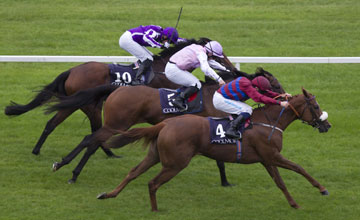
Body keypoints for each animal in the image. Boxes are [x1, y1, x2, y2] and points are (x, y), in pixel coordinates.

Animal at [5, 38, 238, 156]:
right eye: (219, 55)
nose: (232, 66)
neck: (164, 67)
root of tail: (72, 70)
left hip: (78, 103)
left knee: (57, 123)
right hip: (90, 105)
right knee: (92, 128)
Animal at [46, 68, 286, 185]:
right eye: (274, 84)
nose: (285, 96)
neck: (216, 95)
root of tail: (117, 88)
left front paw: (225, 181)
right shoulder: (213, 126)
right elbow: (219, 159)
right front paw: (226, 181)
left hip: (115, 124)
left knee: (94, 142)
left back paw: (73, 171)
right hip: (117, 123)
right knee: (90, 140)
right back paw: (64, 167)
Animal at [96, 87, 332, 211]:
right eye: (316, 106)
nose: (327, 125)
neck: (269, 122)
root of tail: (166, 123)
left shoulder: (267, 159)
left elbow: (281, 181)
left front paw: (295, 202)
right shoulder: (271, 155)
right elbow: (297, 169)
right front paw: (320, 189)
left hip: (155, 155)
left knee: (133, 172)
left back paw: (108, 194)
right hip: (175, 163)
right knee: (152, 183)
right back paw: (154, 210)